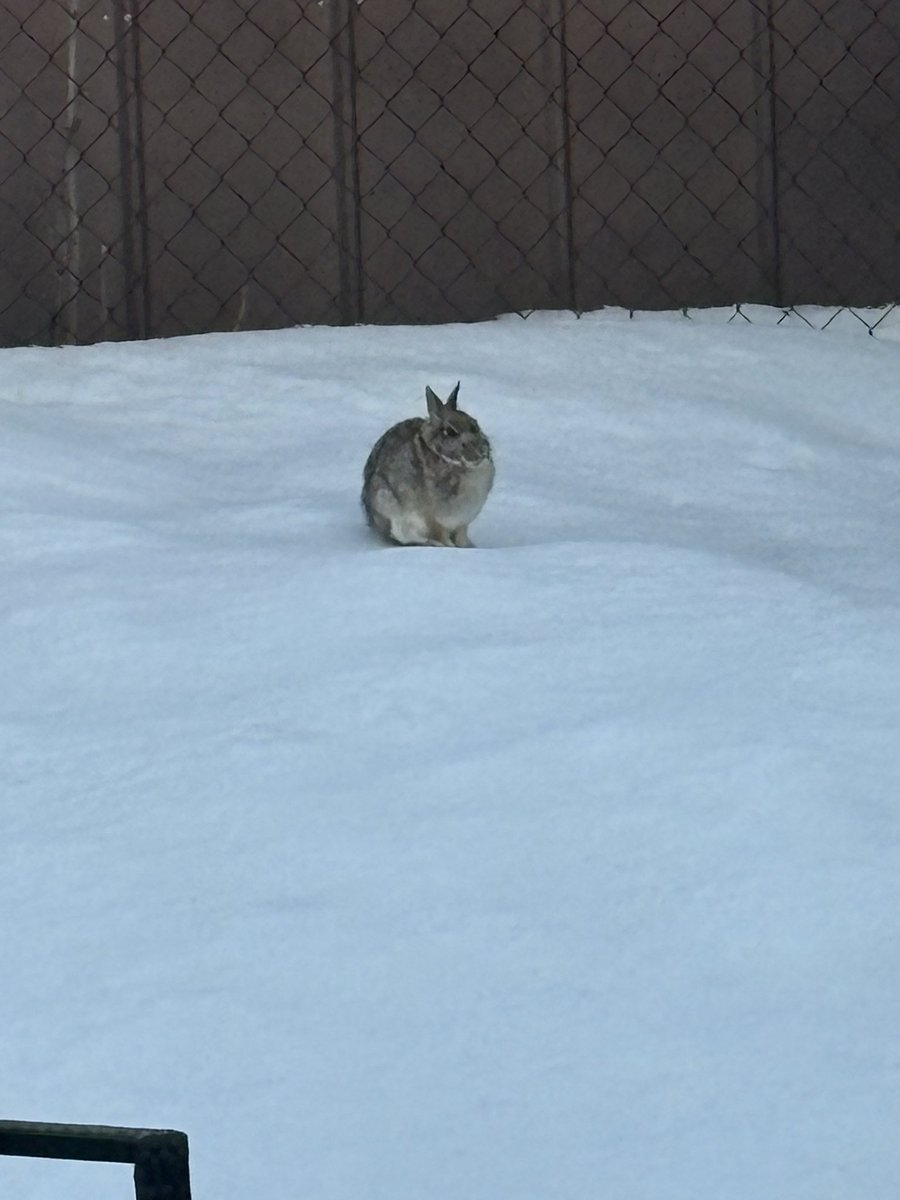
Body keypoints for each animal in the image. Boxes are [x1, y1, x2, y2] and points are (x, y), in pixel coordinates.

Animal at [361, 382, 494, 547]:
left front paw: (468, 547)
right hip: (387, 503)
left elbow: (461, 536)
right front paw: (449, 547)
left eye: (475, 425)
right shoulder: (434, 519)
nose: (481, 451)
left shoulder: (462, 523)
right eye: (450, 432)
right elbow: (439, 533)